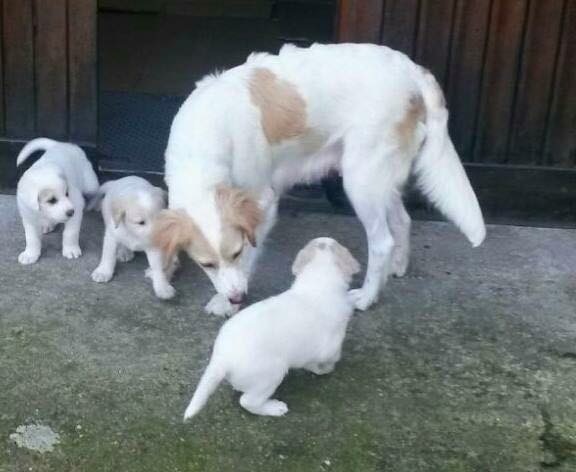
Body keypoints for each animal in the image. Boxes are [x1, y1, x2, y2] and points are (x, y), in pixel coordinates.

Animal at [15, 137, 100, 266]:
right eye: (51, 200)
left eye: (67, 194)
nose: (71, 212)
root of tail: (60, 144)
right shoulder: (28, 217)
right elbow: (31, 238)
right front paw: (30, 254)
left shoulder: (76, 205)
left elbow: (70, 233)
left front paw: (71, 250)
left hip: (91, 184)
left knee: (96, 191)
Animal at [153, 43, 486, 318]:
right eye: (206, 265)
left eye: (234, 253)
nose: (237, 298)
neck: (202, 146)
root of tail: (413, 71)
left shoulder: (263, 200)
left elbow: (248, 259)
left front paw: (226, 304)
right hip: (378, 178)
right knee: (403, 221)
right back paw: (397, 267)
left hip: (360, 180)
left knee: (382, 242)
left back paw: (367, 297)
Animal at [182, 238, 360, 418]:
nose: (323, 239)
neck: (318, 282)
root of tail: (221, 359)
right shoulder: (330, 347)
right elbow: (328, 361)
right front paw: (325, 369)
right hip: (271, 376)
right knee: (248, 401)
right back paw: (274, 408)